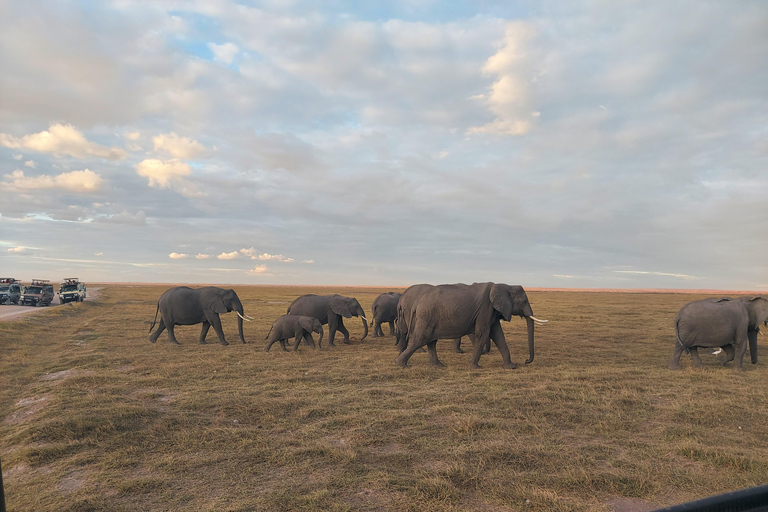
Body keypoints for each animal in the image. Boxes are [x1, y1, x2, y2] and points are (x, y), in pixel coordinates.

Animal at [396, 282, 547, 369]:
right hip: (426, 316)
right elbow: (483, 334)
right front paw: (475, 367)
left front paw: (511, 367)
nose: (526, 361)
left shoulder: (492, 311)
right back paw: (402, 364)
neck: (505, 285)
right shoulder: (485, 308)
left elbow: (498, 335)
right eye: (524, 301)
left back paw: (439, 366)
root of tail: (417, 302)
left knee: (431, 341)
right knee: (421, 339)